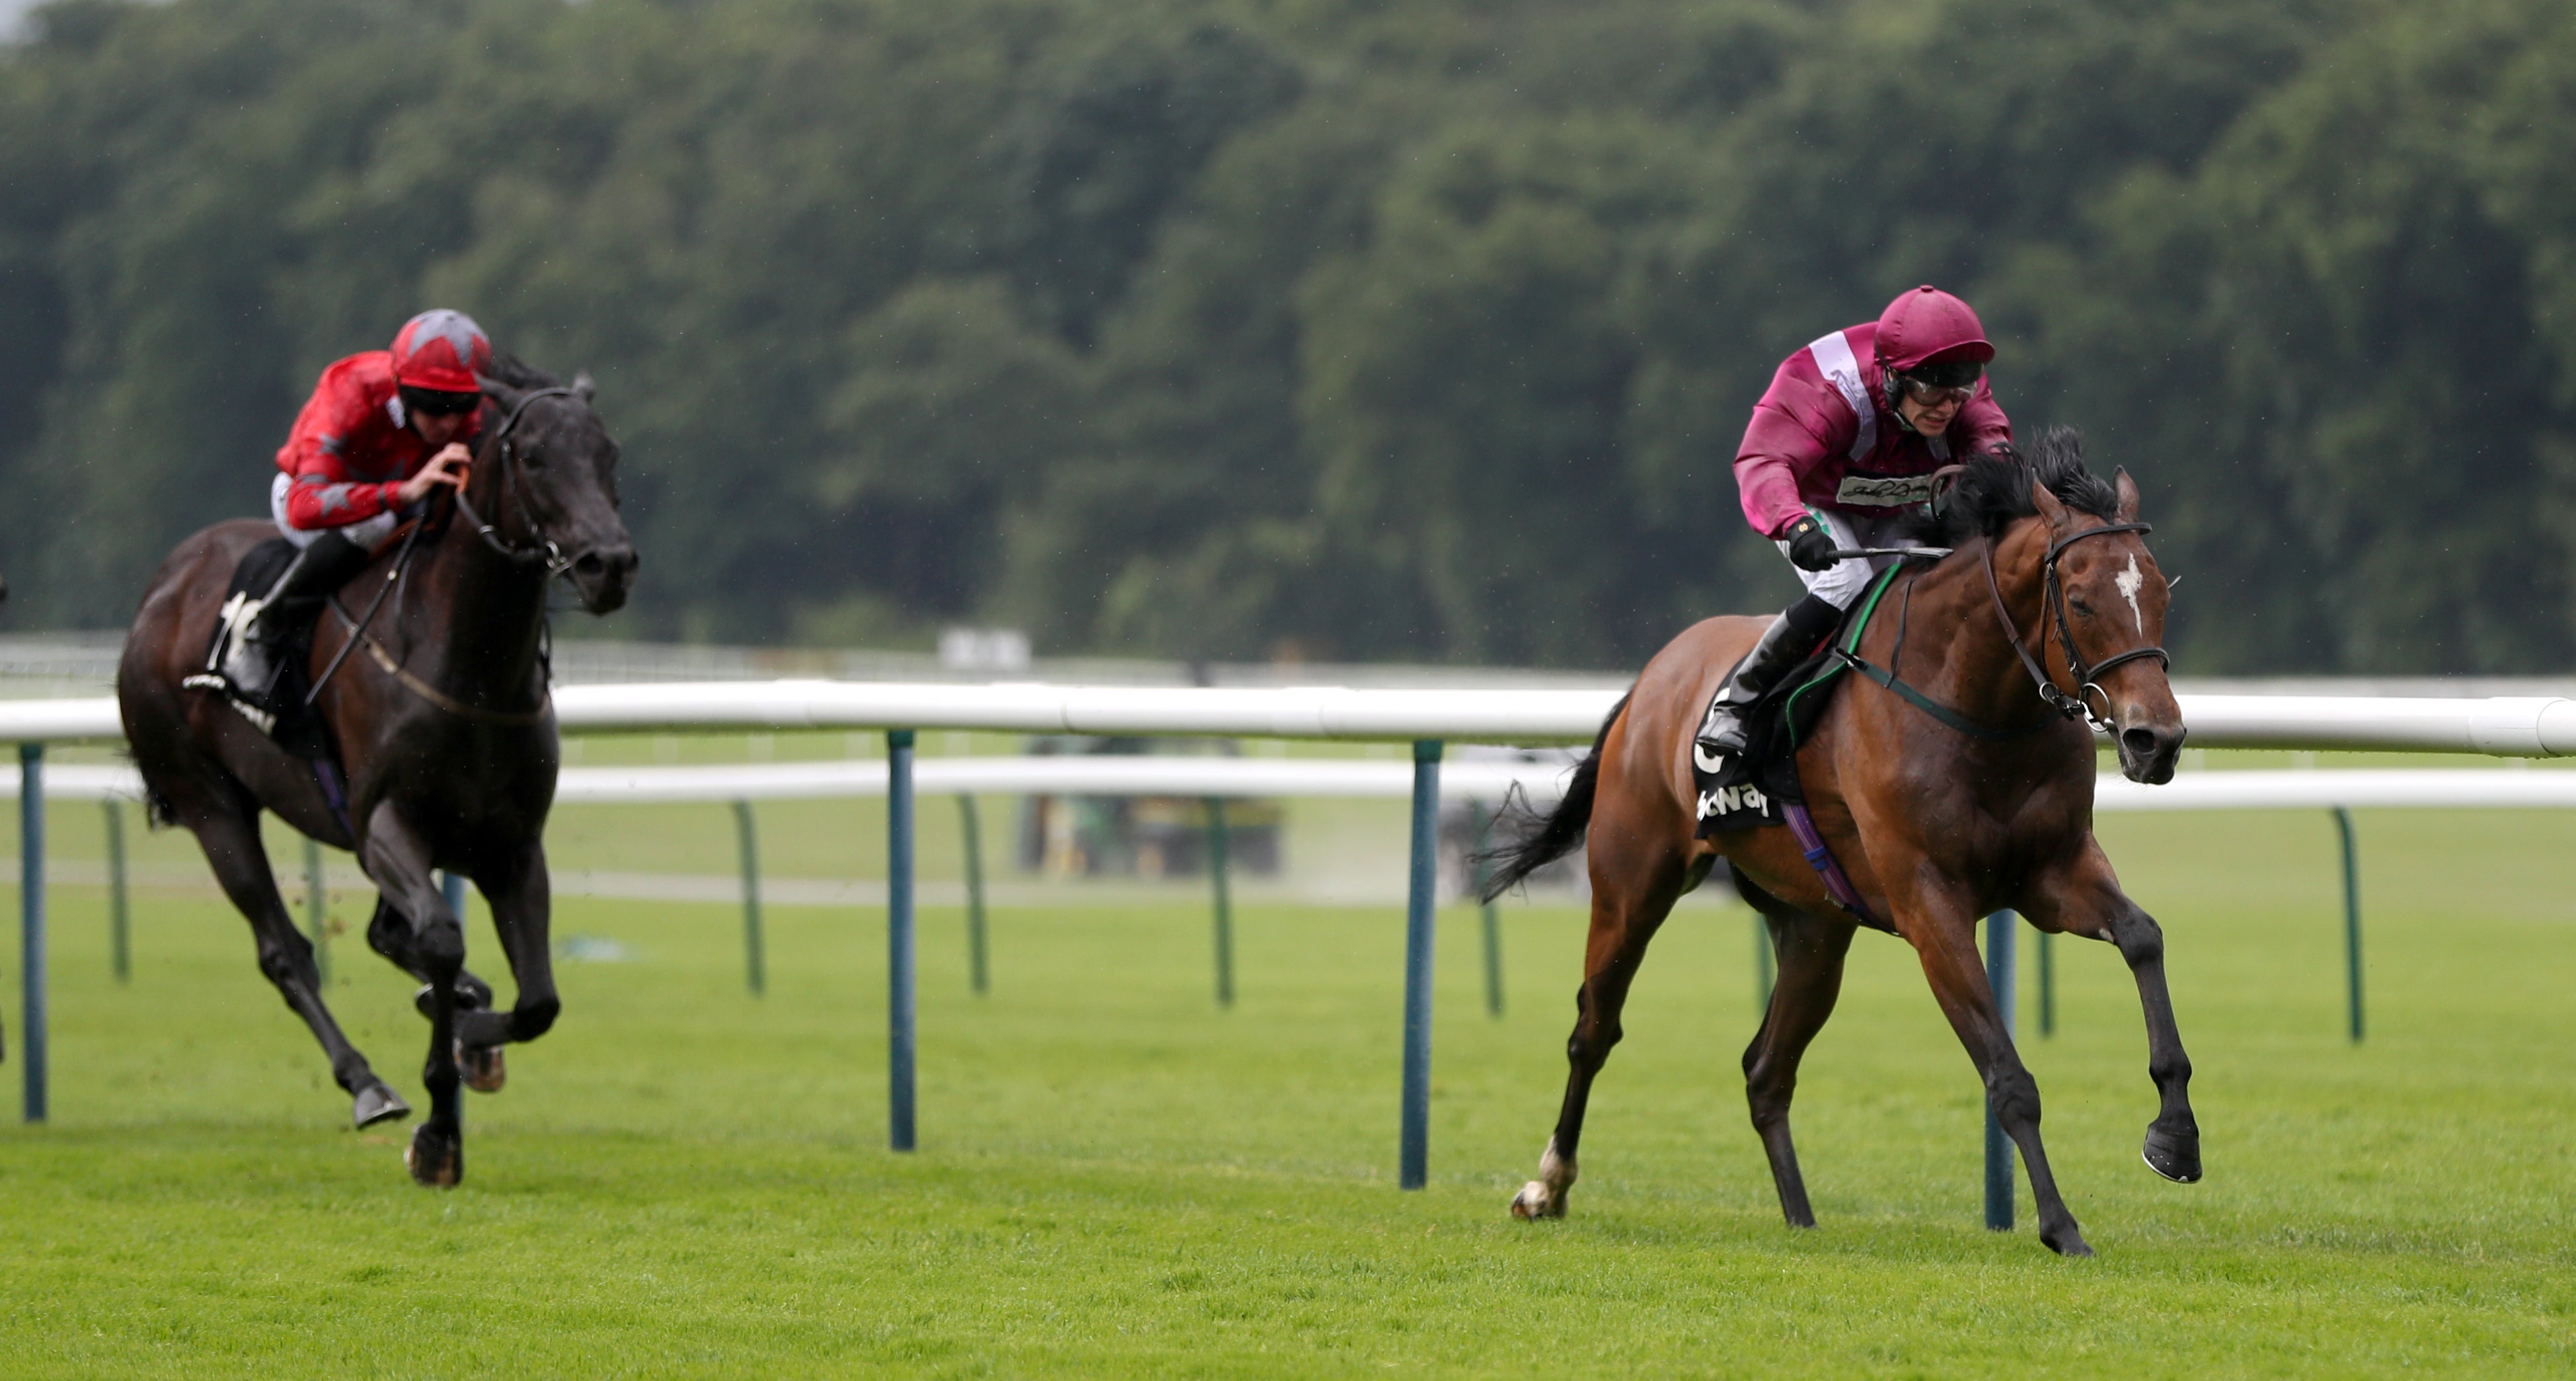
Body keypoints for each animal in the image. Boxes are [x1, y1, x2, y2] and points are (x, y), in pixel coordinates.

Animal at [117, 355, 644, 1185]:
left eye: (609, 453)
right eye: (533, 458)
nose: (609, 565)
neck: (468, 664)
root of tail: (161, 590)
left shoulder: (513, 844)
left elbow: (537, 1001)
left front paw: (470, 1032)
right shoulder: (387, 824)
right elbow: (442, 941)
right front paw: (437, 1130)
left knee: (384, 936)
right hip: (209, 802)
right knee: (286, 951)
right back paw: (367, 1083)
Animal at [1494, 438, 2195, 1257]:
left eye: (2160, 593)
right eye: (2080, 602)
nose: (2156, 740)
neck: (1975, 704)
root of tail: (1651, 680)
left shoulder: (2052, 874)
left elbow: (2142, 937)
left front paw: (2174, 1137)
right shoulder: (1930, 905)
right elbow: (2008, 1077)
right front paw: (2060, 1225)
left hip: (1814, 927)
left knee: (1765, 1069)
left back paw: (1800, 1217)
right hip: (1631, 884)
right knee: (1593, 1031)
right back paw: (1546, 1186)